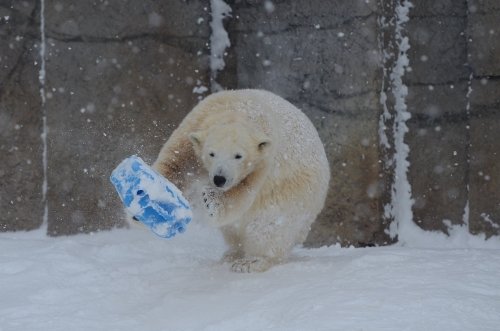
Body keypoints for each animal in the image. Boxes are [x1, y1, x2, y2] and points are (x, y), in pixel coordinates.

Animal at [154, 89, 330, 274]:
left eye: (238, 156)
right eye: (211, 153)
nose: (219, 179)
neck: (237, 109)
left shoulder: (263, 161)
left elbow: (241, 195)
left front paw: (210, 198)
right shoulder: (193, 129)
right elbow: (175, 166)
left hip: (295, 195)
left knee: (268, 227)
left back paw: (251, 261)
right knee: (232, 229)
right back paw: (231, 254)